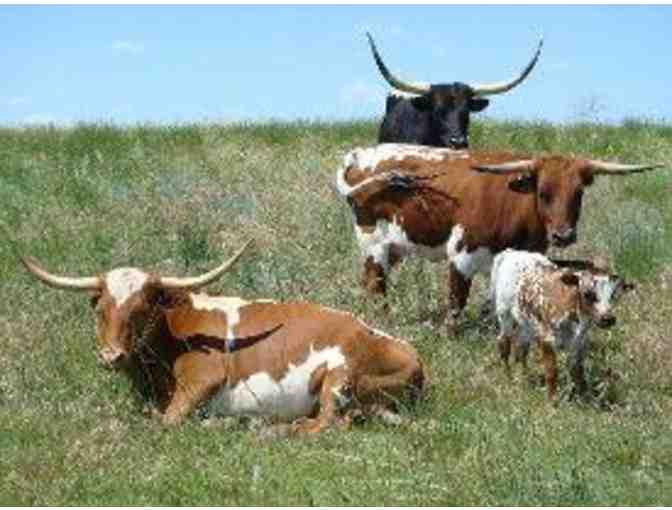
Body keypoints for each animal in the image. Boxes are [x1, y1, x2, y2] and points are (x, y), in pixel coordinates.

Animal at [21, 241, 425, 436]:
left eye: (142, 308)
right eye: (101, 309)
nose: (112, 356)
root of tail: (415, 357)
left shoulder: (203, 378)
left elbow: (167, 422)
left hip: (340, 377)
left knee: (323, 425)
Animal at [335, 143, 664, 333]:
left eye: (579, 193)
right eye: (542, 192)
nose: (563, 235)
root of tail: (360, 154)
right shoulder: (462, 256)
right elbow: (456, 301)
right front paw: (450, 335)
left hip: (395, 247)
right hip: (373, 242)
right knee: (376, 284)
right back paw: (383, 322)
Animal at [489, 249, 634, 400]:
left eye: (614, 296)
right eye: (588, 294)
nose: (608, 318)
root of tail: (512, 252)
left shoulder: (579, 343)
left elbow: (578, 372)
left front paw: (584, 397)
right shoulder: (547, 340)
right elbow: (551, 372)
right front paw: (552, 400)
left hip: (526, 323)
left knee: (521, 349)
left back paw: (524, 377)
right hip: (505, 314)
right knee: (504, 343)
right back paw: (508, 376)